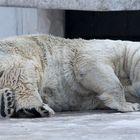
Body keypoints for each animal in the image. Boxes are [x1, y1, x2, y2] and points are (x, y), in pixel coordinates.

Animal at [0, 34, 140, 117]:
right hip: (19, 51)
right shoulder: (108, 49)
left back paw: (6, 101)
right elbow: (88, 62)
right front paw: (130, 106)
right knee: (22, 73)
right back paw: (37, 108)